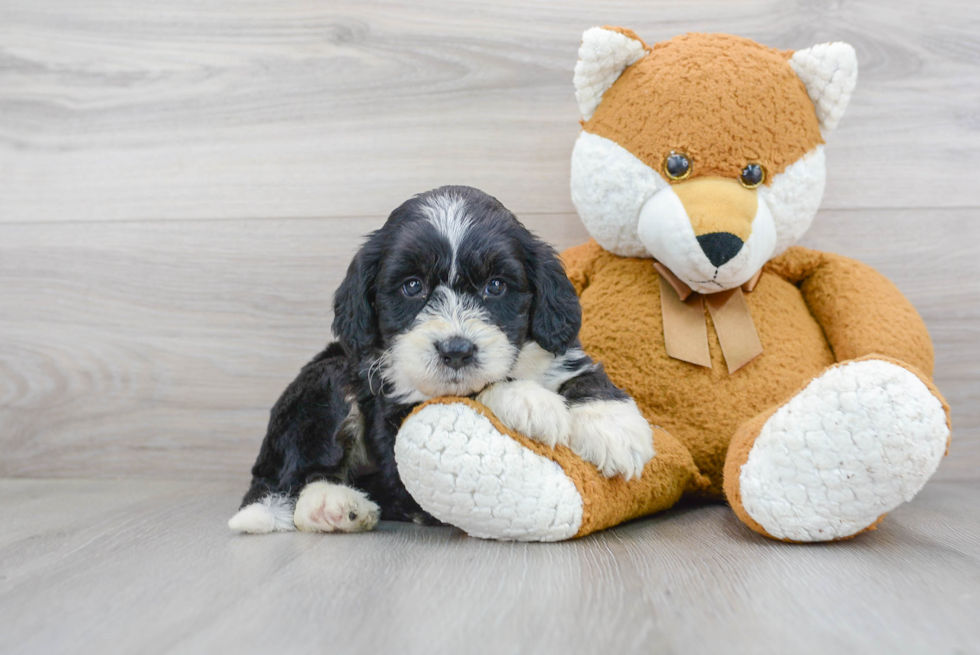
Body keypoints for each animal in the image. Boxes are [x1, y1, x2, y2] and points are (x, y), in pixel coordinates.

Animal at [230, 187, 656, 536]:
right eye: (412, 286)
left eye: (495, 286)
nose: (457, 350)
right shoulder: (396, 415)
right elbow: (471, 393)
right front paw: (530, 401)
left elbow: (583, 372)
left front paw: (615, 428)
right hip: (326, 383)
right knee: (299, 474)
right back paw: (333, 505)